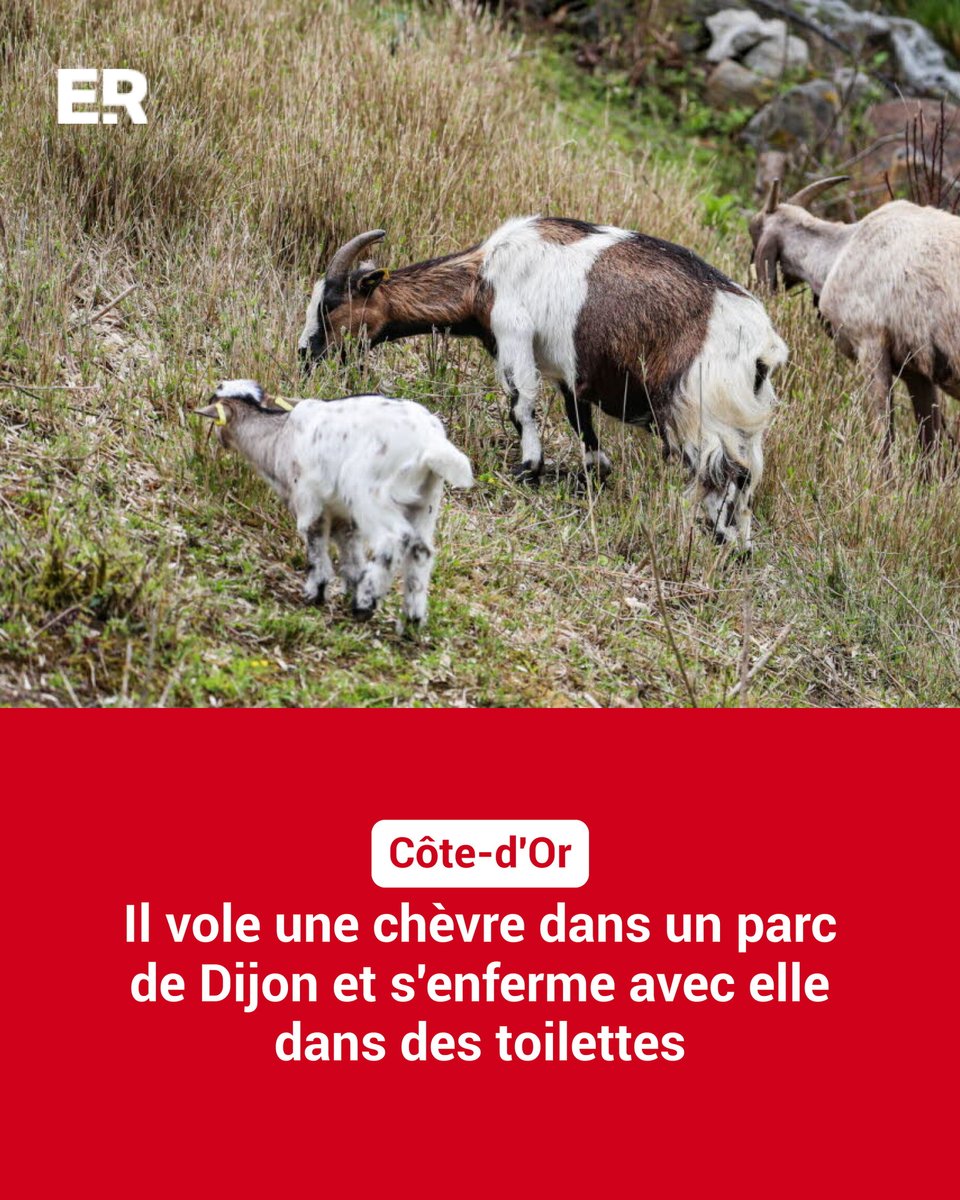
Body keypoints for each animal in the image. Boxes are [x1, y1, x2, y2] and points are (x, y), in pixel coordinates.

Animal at [194, 380, 473, 628]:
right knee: (421, 550)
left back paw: (365, 604)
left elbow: (314, 539)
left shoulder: (309, 498)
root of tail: (430, 442)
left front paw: (316, 592)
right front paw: (352, 583)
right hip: (426, 501)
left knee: (394, 538)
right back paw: (411, 620)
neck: (277, 438)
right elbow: (349, 548)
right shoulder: (342, 513)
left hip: (368, 491)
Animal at [299, 218, 788, 550]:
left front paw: (528, 467)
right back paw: (740, 544)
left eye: (330, 304)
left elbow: (521, 404)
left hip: (695, 411)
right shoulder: (570, 370)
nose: (305, 355)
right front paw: (593, 472)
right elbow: (579, 420)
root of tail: (762, 349)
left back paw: (719, 534)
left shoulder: (513, 331)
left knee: (728, 472)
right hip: (742, 421)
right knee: (748, 474)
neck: (483, 274)